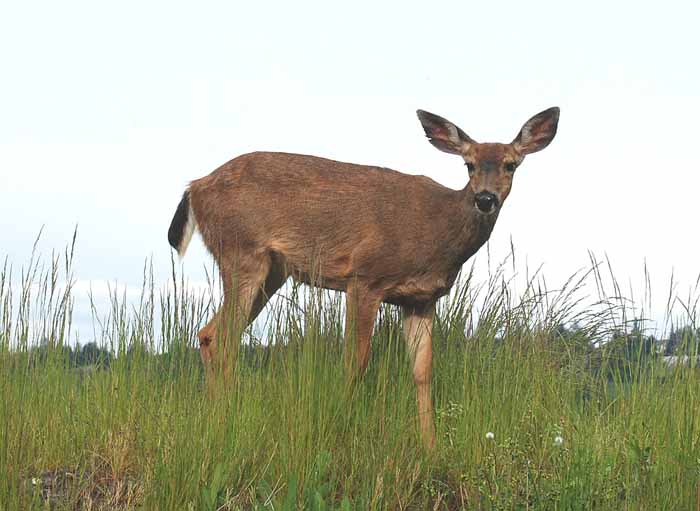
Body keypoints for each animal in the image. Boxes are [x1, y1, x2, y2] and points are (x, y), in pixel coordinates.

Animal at [167, 107, 560, 448]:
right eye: (469, 164)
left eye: (511, 164)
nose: (485, 198)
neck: (438, 231)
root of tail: (194, 187)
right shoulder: (365, 276)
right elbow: (355, 362)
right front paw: (343, 429)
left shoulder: (421, 299)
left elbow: (422, 372)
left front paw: (430, 447)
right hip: (242, 252)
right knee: (219, 337)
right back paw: (225, 420)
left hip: (271, 271)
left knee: (212, 334)